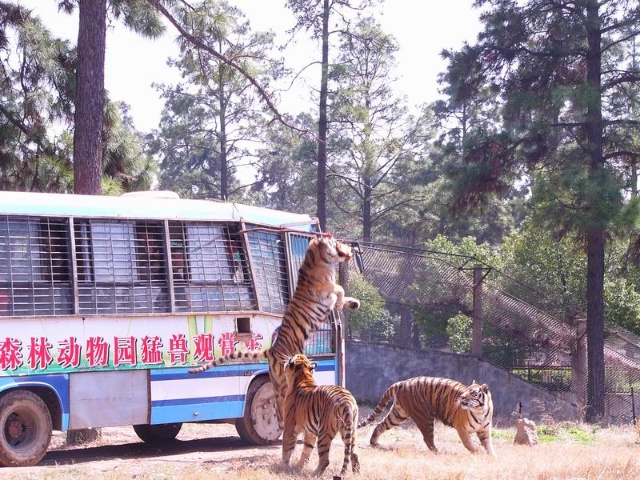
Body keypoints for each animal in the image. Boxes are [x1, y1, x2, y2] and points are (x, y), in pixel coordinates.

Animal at [189, 233, 360, 432]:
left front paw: (354, 303)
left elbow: (344, 294)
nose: (347, 247)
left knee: (280, 412)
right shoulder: (326, 290)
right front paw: (342, 304)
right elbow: (340, 289)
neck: (320, 259)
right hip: (286, 383)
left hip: (279, 384)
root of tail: (271, 350)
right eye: (336, 242)